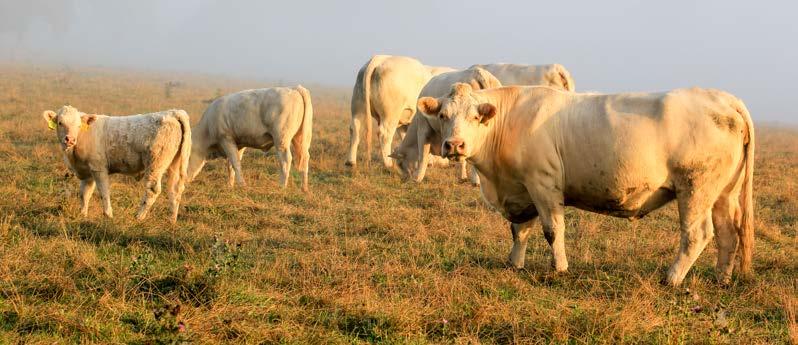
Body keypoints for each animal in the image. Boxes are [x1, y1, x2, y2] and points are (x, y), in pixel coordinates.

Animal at [42, 106, 194, 222]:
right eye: (60, 123)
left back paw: (139, 217)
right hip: (175, 164)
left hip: (156, 164)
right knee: (174, 190)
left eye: (78, 125)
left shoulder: (98, 168)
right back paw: (171, 220)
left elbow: (103, 191)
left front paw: (108, 215)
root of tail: (173, 112)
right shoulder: (87, 172)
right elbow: (85, 193)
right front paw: (82, 214)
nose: (70, 139)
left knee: (153, 190)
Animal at [422, 83, 760, 284]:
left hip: (695, 187)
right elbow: (520, 230)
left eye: (475, 117)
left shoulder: (543, 183)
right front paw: (514, 264)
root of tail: (722, 97)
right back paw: (721, 277)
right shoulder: (522, 189)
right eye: (443, 115)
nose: (454, 145)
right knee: (728, 233)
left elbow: (551, 229)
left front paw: (559, 267)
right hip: (724, 192)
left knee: (697, 233)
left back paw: (672, 278)